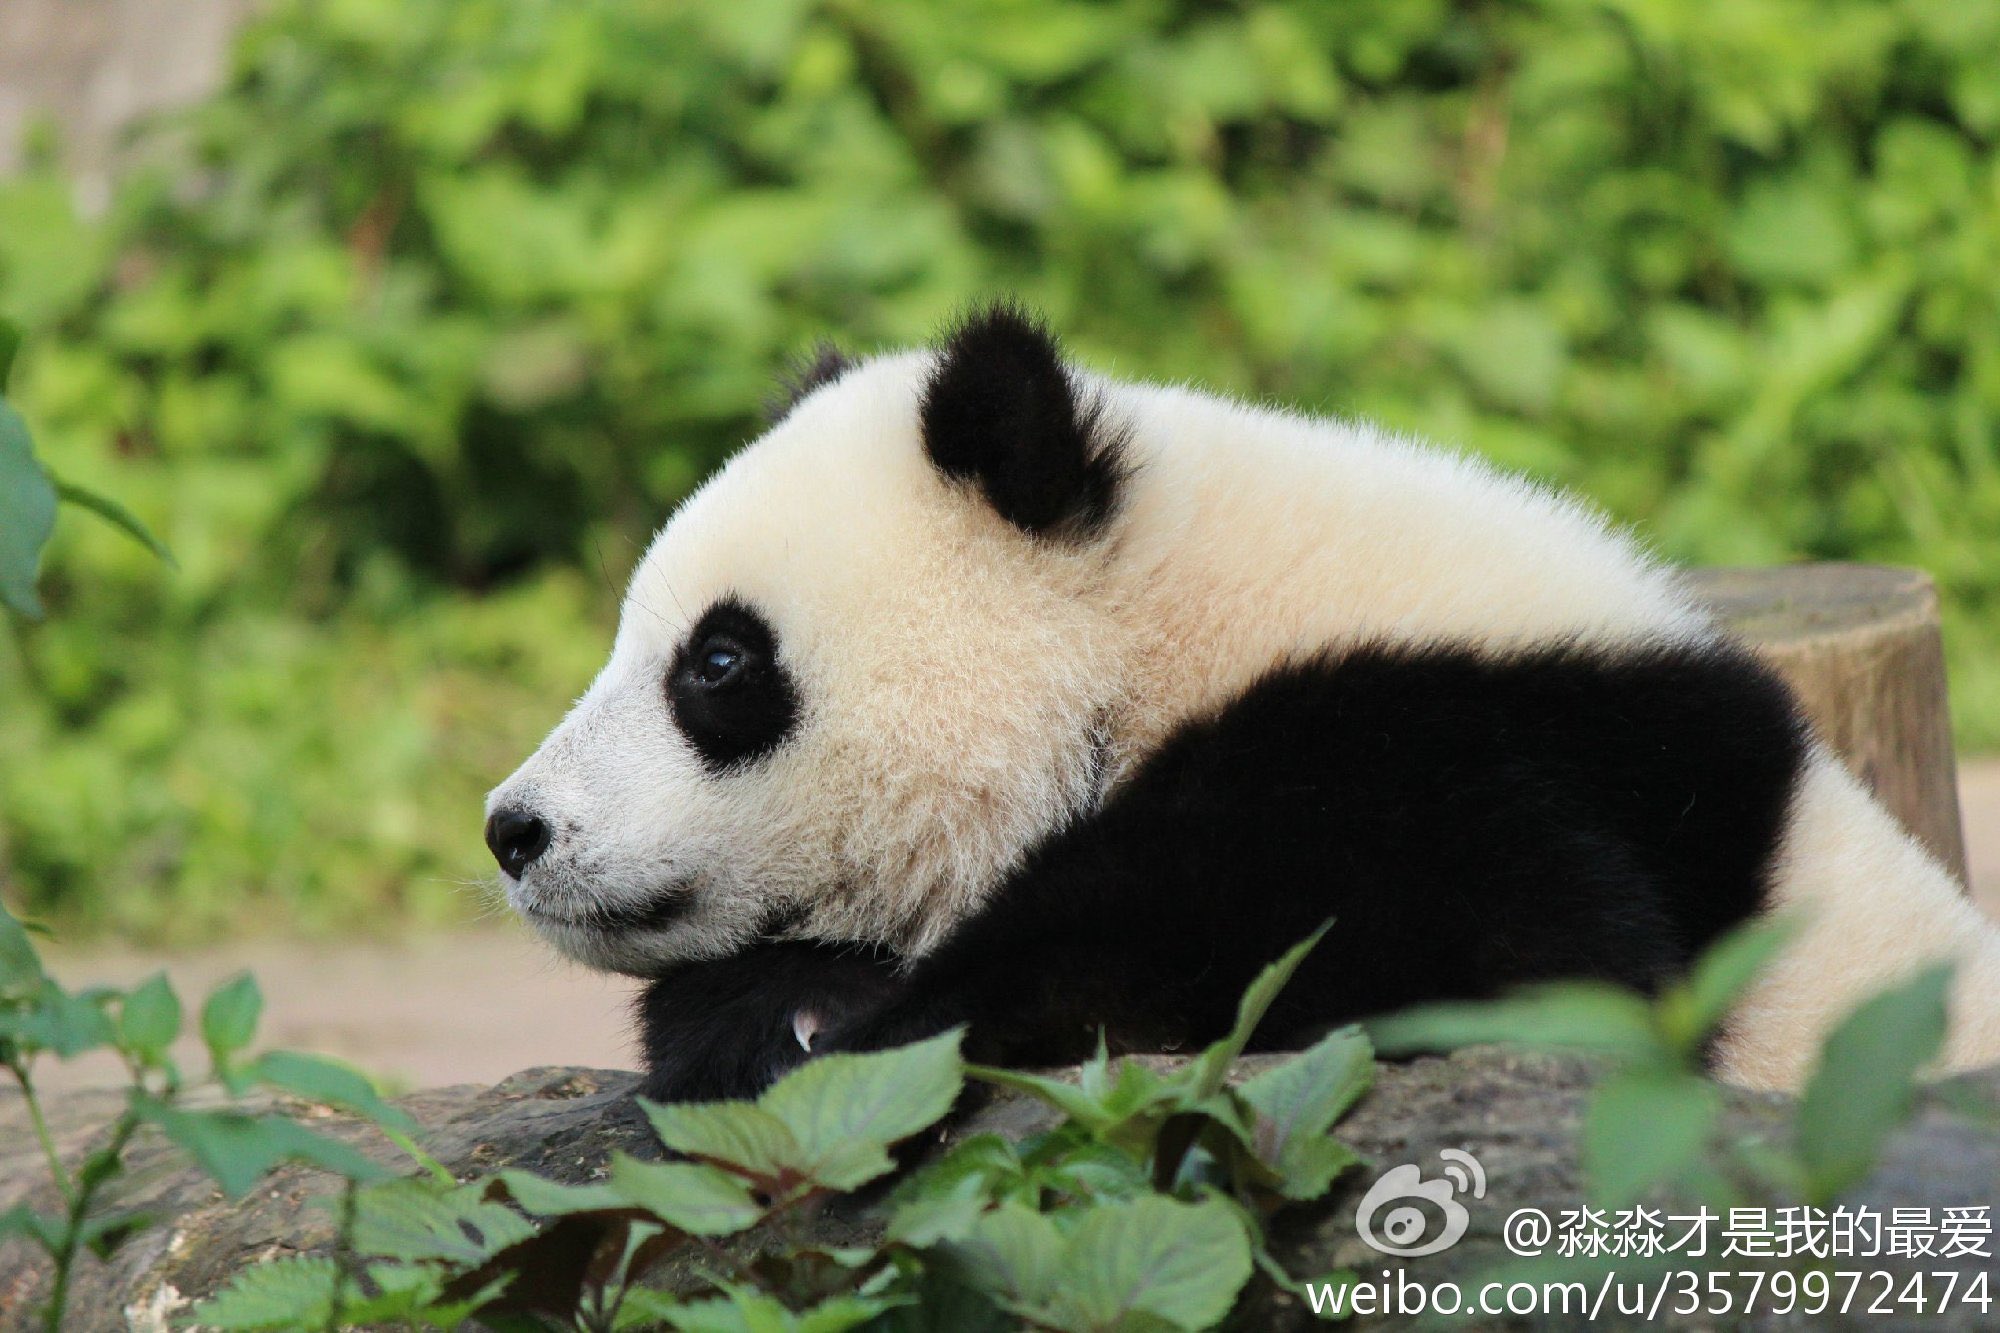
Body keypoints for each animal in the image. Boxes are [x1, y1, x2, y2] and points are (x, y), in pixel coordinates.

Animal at [480, 304, 2000, 1096]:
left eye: (716, 664)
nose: (514, 829)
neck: (1167, 625)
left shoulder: (1461, 745)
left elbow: (1512, 982)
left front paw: (874, 1019)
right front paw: (781, 1006)